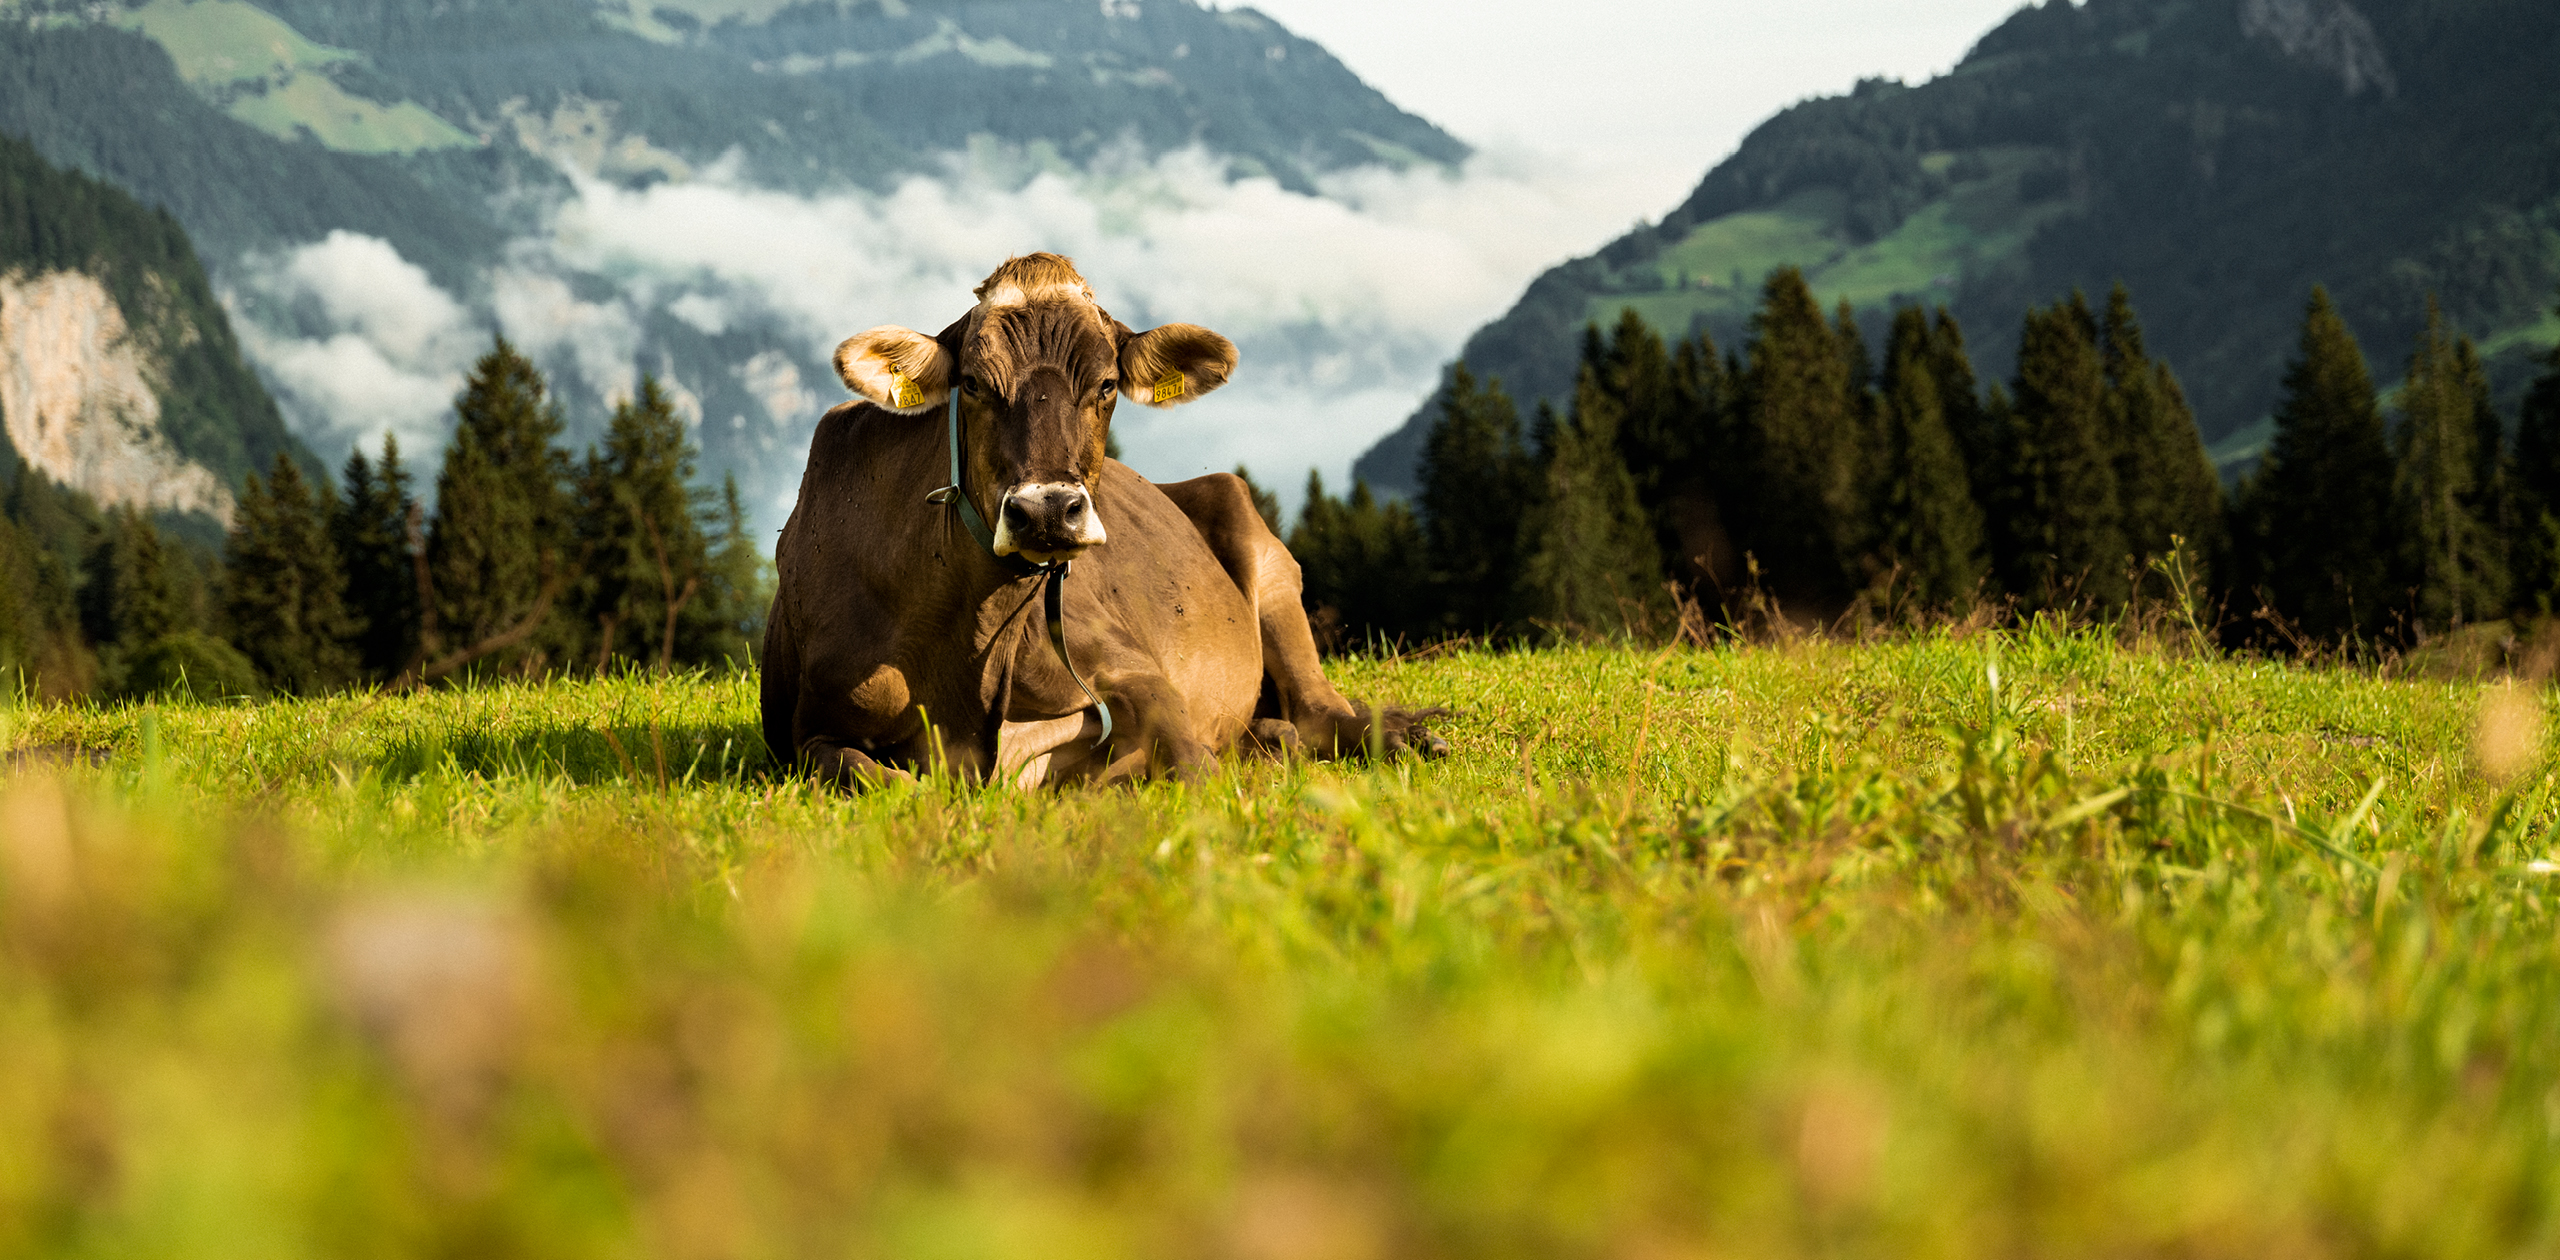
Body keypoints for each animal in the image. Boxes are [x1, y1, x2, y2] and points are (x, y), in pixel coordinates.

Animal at [757, 252, 1443, 788]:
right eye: (973, 384)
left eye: (1108, 384)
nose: (1045, 511)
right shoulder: (805, 730)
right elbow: (870, 773)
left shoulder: (1139, 672)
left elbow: (1192, 764)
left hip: (1266, 559)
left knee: (1319, 714)